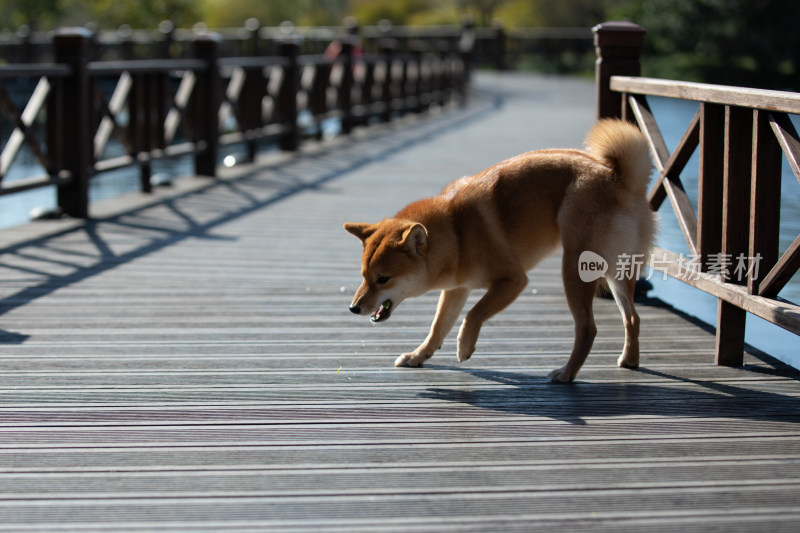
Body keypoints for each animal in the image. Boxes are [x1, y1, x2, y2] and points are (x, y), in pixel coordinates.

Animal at [344, 118, 656, 380]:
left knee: (588, 328)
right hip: (616, 271)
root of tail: (620, 180)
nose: (353, 308)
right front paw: (419, 355)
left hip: (575, 269)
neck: (457, 231)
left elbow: (473, 314)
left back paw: (566, 373)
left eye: (383, 279)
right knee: (632, 317)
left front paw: (464, 347)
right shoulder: (457, 289)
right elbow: (437, 327)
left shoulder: (513, 280)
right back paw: (629, 359)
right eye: (363, 276)